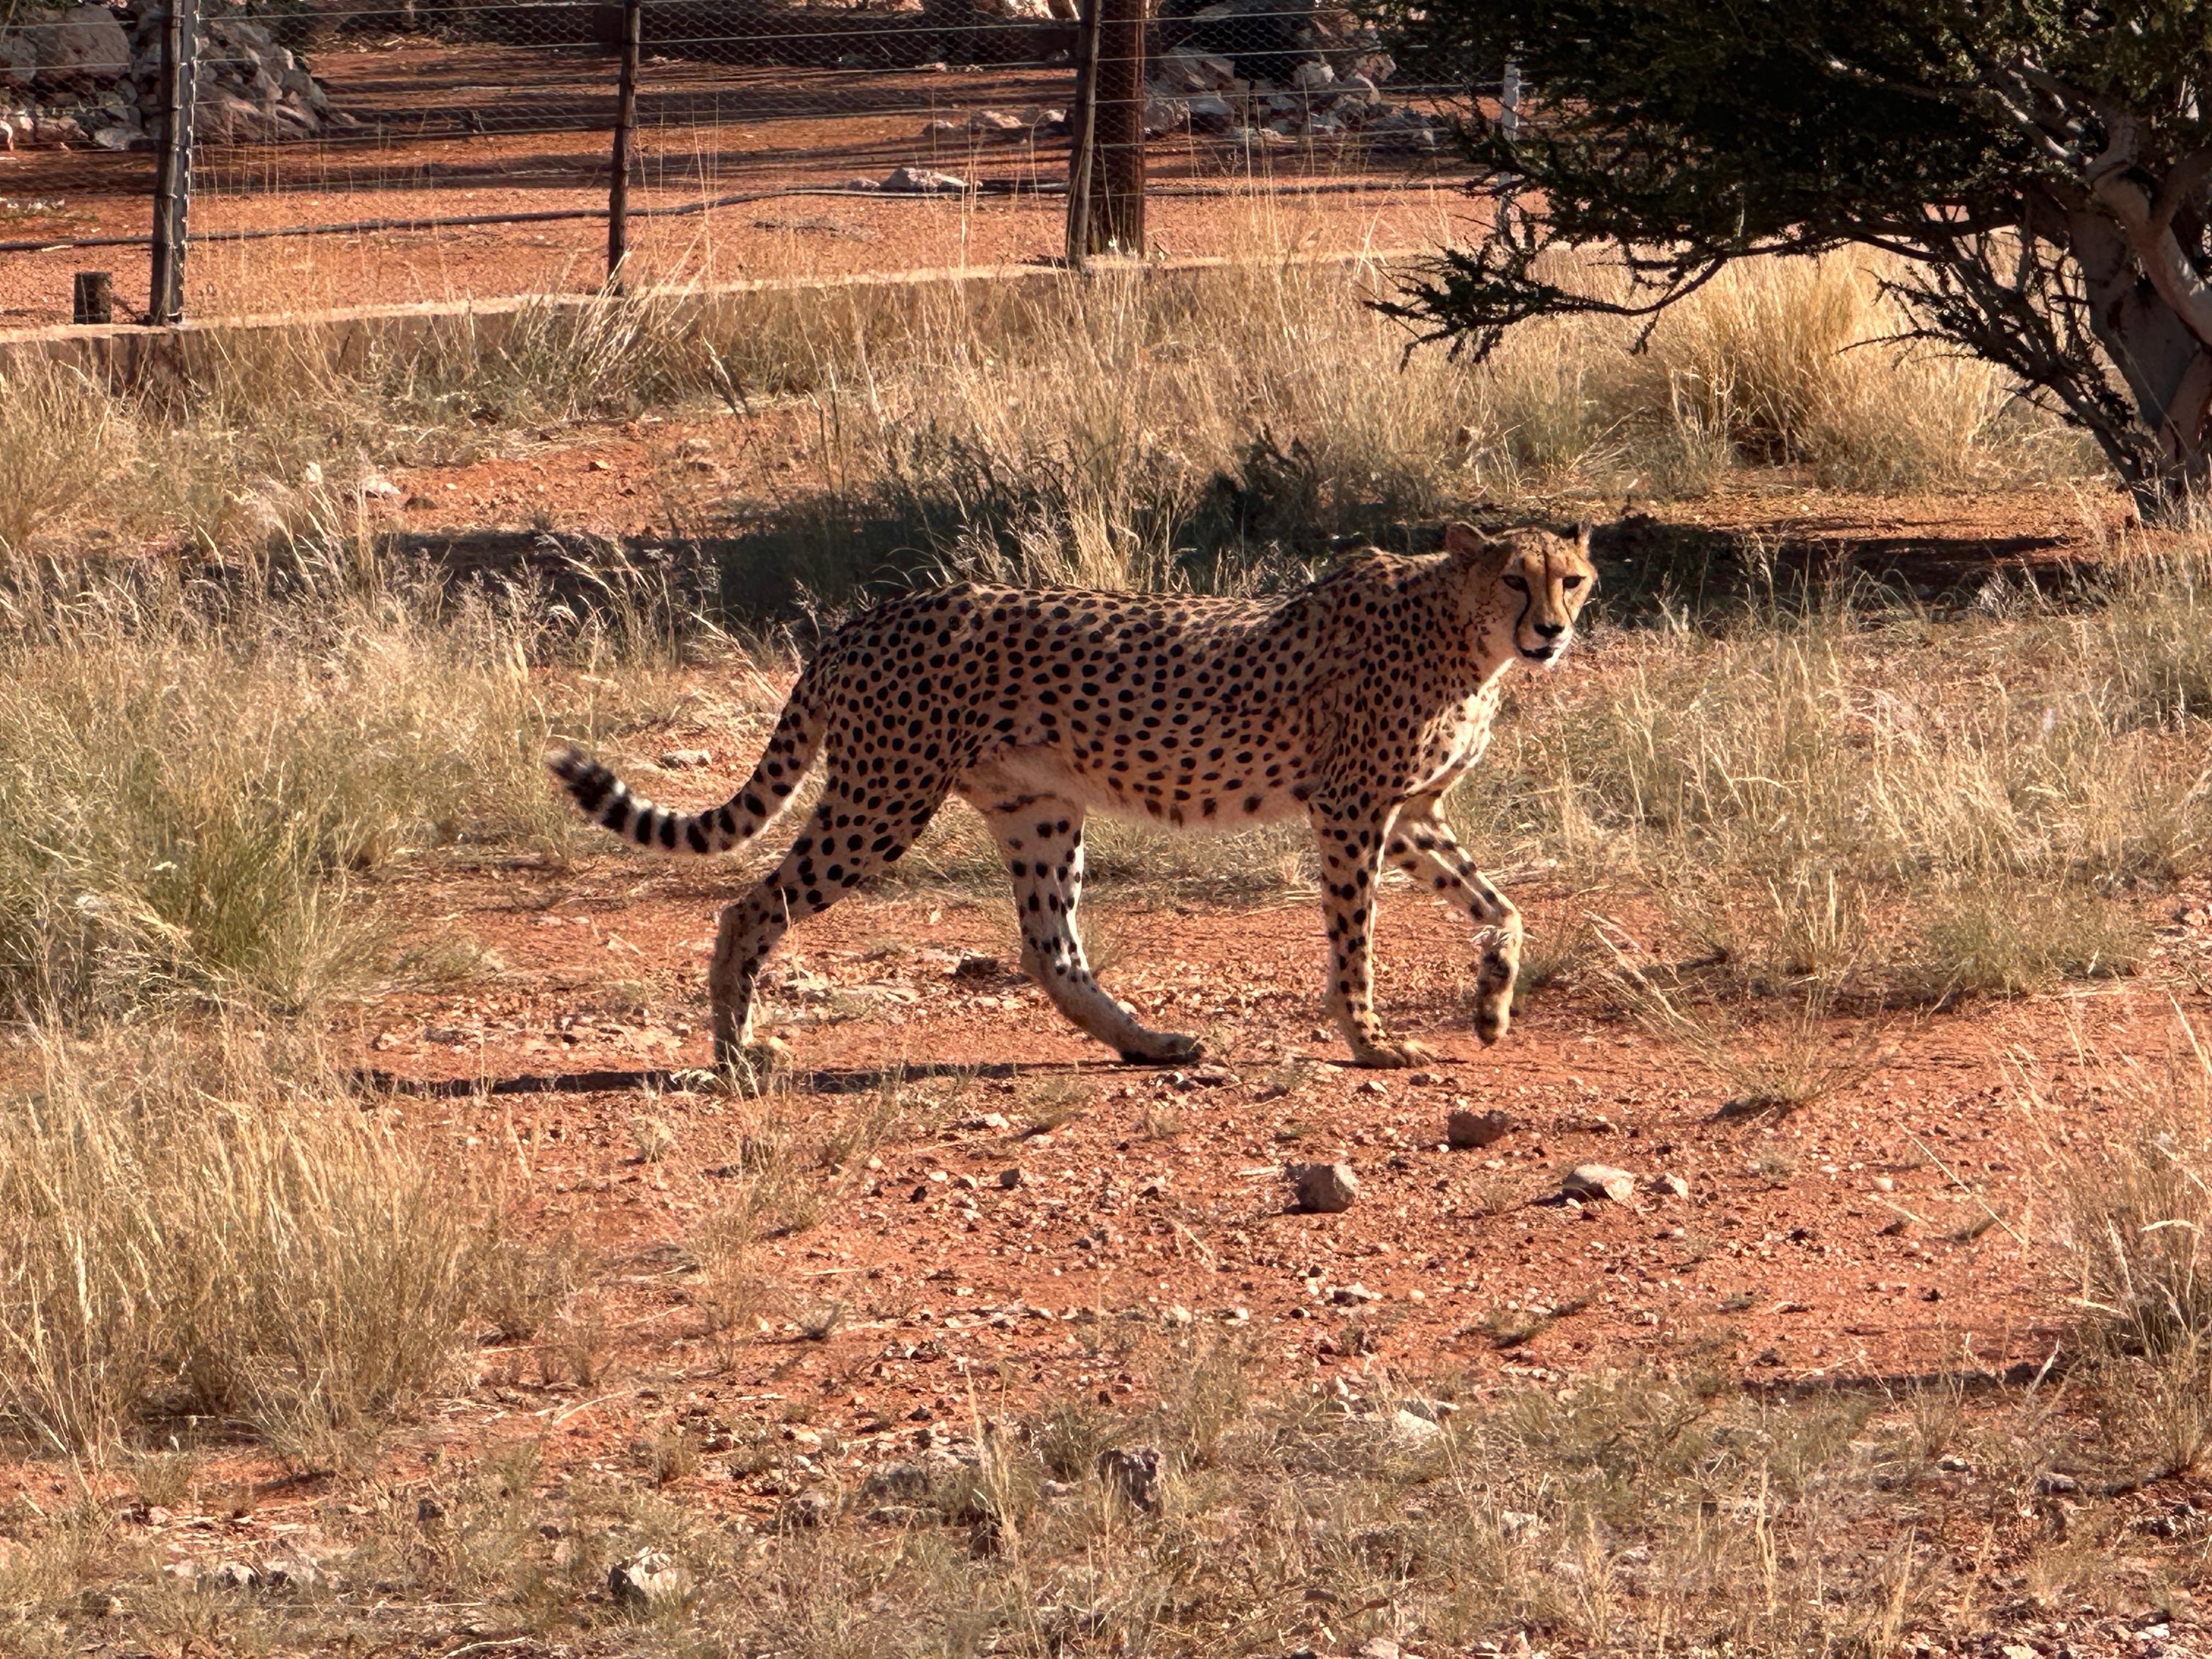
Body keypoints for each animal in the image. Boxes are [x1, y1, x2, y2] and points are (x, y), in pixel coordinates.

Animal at [549, 520, 1598, 1070]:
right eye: (1515, 578)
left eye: (1574, 579)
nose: (1551, 630)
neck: (1462, 634)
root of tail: (867, 615)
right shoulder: (1350, 810)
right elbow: (1356, 942)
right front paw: (1373, 1040)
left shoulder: (1408, 813)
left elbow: (1502, 905)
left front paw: (1491, 1004)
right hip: (884, 799)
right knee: (751, 904)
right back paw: (735, 1052)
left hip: (1037, 809)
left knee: (1049, 948)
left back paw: (1149, 1041)